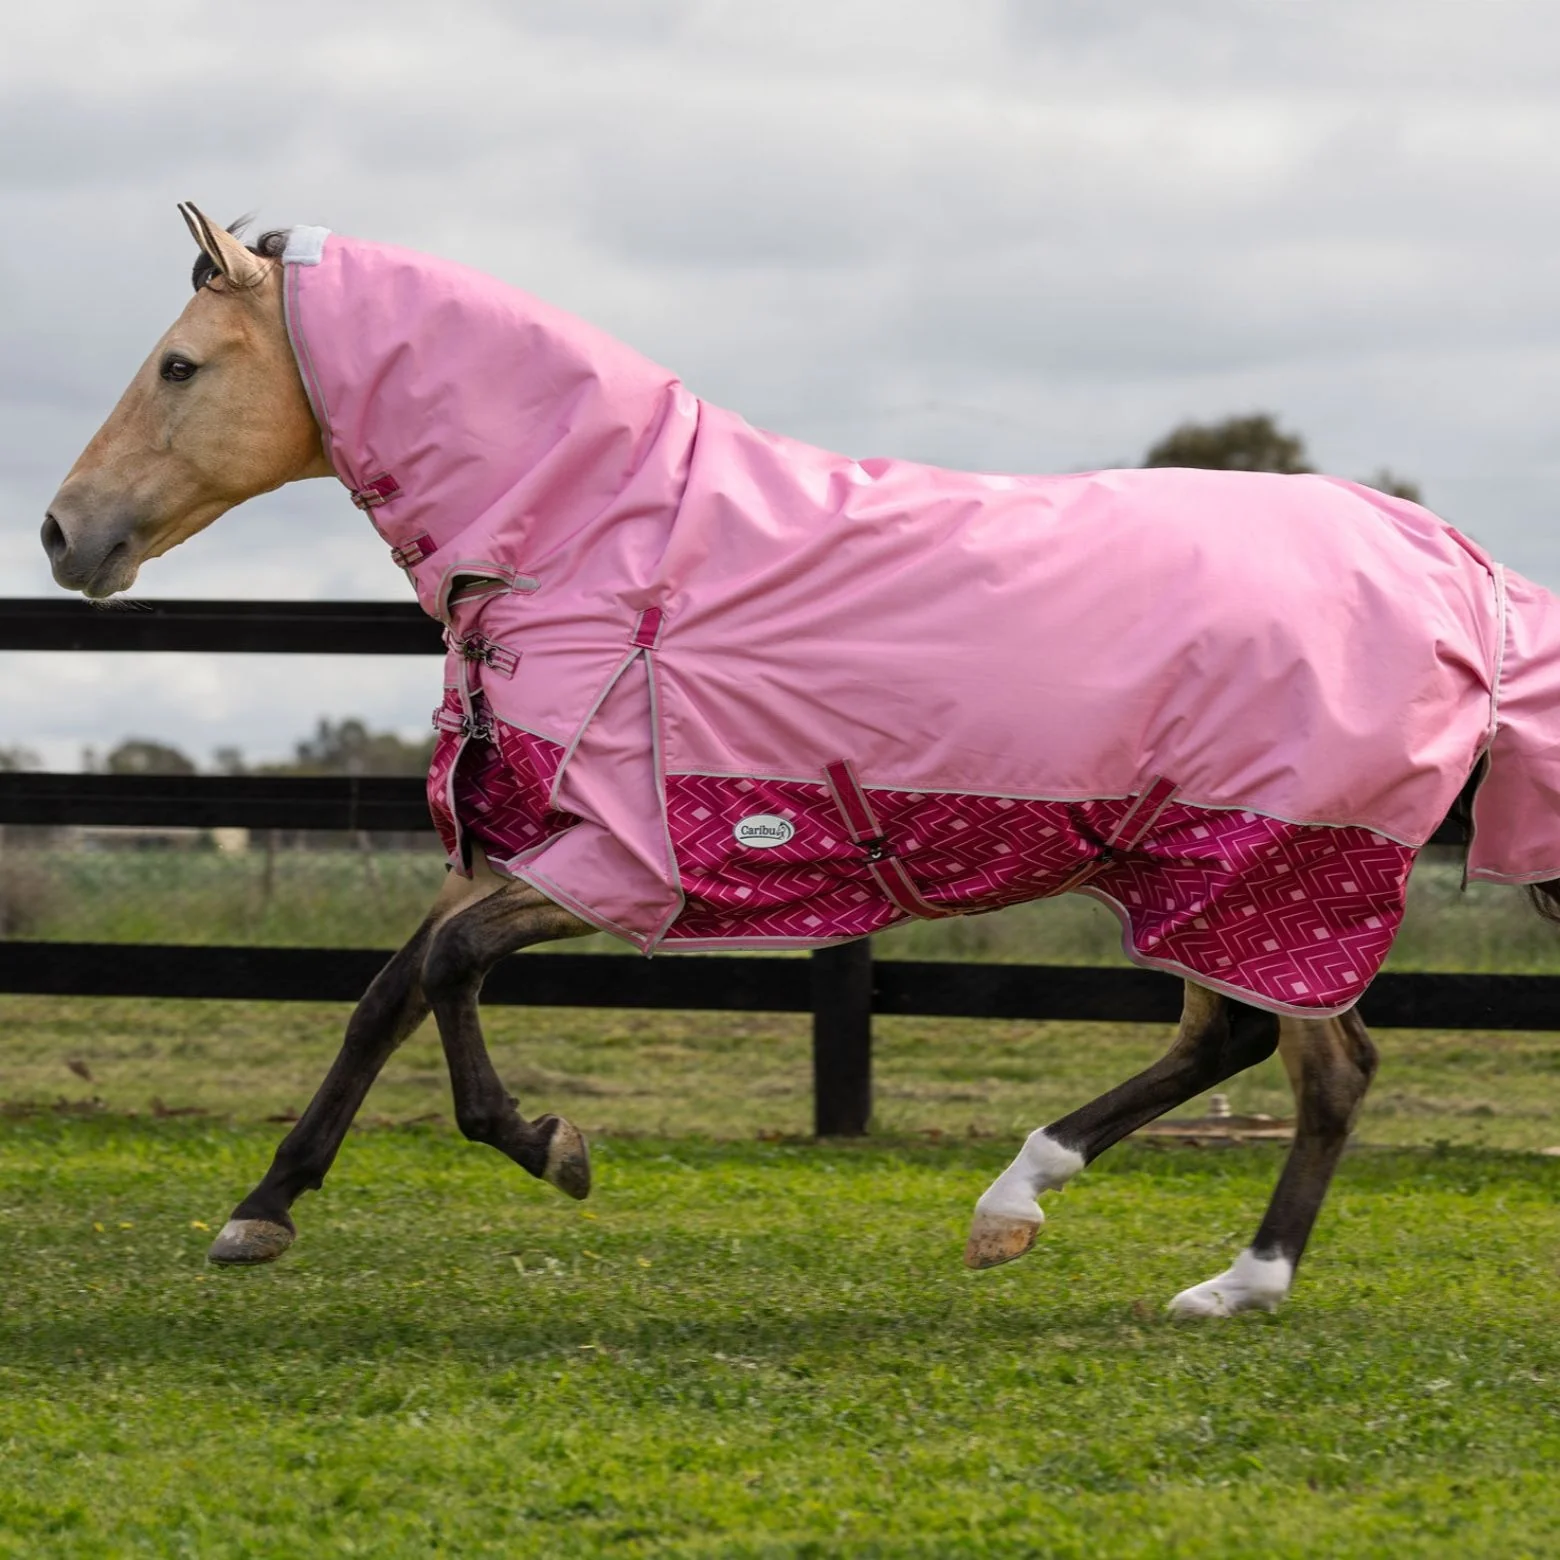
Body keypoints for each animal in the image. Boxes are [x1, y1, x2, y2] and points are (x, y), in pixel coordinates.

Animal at [42, 204, 1560, 1317]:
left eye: (179, 365)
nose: (64, 534)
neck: (603, 539)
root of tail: (1456, 568)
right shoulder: (527, 846)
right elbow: (384, 995)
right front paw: (262, 1213)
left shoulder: (628, 859)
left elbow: (449, 969)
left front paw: (549, 1148)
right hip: (1209, 869)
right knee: (1260, 1045)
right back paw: (1074, 1230)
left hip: (1277, 867)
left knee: (1314, 1061)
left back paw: (1190, 1266)